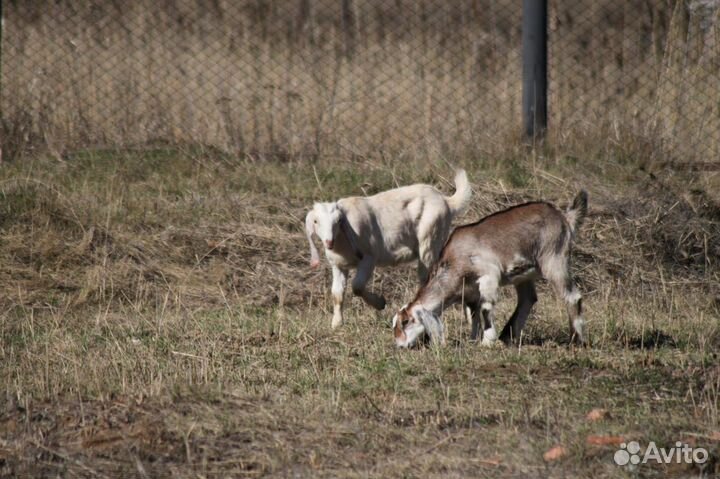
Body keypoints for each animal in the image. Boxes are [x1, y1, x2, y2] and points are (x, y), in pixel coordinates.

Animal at [304, 170, 472, 330]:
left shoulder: (368, 258)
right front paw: (336, 324)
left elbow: (357, 286)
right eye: (316, 221)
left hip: (430, 240)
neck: (341, 241)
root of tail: (446, 201)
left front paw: (380, 303)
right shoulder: (338, 265)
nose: (329, 242)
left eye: (338, 221)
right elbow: (337, 294)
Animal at [394, 190, 592, 348]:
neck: (456, 259)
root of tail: (564, 217)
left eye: (406, 321)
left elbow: (485, 307)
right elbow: (473, 314)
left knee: (572, 296)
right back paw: (508, 336)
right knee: (528, 299)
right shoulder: (470, 292)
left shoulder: (488, 276)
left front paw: (487, 341)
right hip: (524, 275)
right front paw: (473, 340)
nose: (400, 345)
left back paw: (576, 340)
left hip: (554, 259)